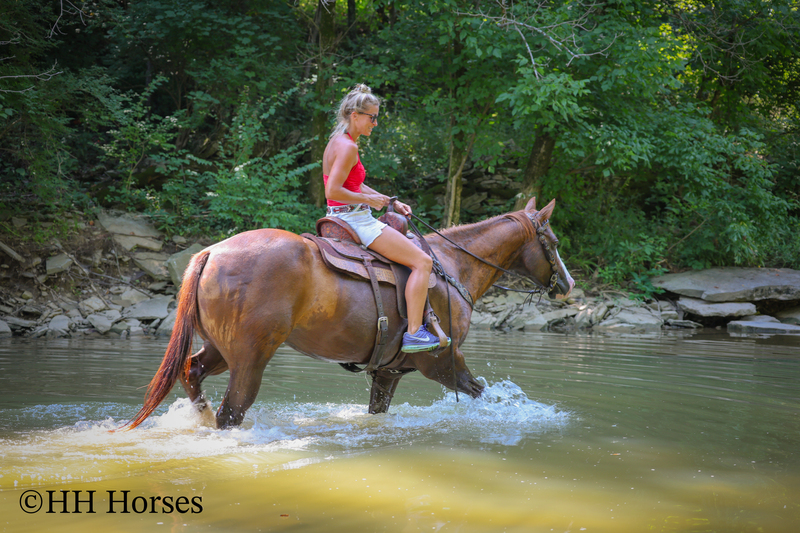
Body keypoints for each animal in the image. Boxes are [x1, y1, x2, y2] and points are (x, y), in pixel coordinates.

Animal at [121, 197, 574, 430]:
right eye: (552, 242)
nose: (568, 285)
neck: (451, 266)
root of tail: (211, 252)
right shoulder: (442, 362)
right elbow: (483, 393)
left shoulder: (389, 372)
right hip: (250, 356)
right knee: (232, 411)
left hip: (219, 348)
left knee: (192, 372)